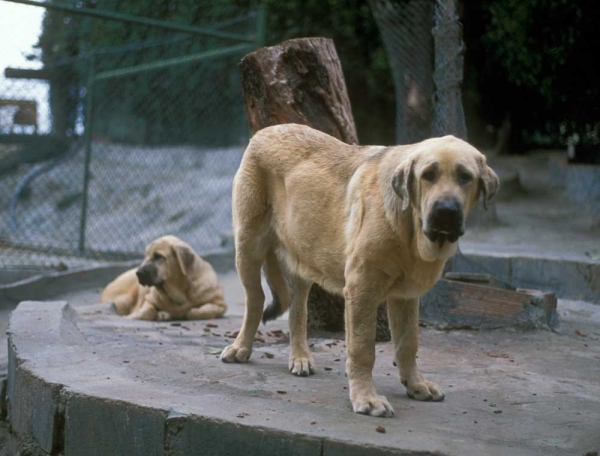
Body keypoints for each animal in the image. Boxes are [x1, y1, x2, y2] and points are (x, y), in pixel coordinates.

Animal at [223, 124, 500, 416]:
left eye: (465, 177)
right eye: (428, 175)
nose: (446, 211)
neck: (409, 227)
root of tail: (265, 131)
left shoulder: (406, 297)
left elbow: (408, 343)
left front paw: (415, 384)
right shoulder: (361, 289)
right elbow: (363, 348)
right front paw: (366, 398)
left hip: (302, 257)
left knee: (297, 310)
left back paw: (300, 357)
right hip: (247, 249)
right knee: (256, 300)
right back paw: (241, 347)